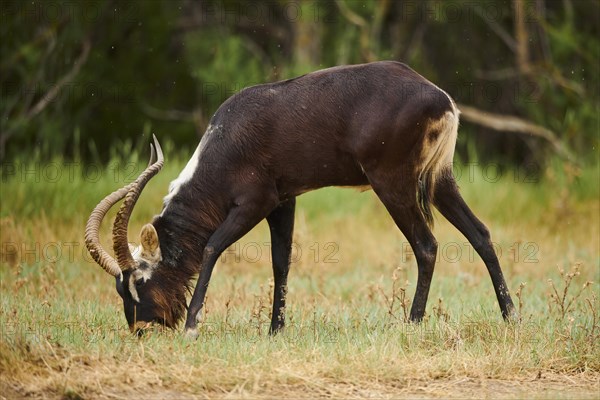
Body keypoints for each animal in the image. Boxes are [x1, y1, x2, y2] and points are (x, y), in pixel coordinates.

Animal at [83, 61, 516, 338]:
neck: (229, 138)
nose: (141, 330)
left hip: (393, 185)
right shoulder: (283, 202)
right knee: (480, 234)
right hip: (439, 181)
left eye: (139, 282)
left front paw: (192, 326)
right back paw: (511, 317)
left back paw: (412, 323)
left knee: (426, 245)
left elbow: (211, 247)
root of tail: (441, 98)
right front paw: (275, 330)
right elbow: (281, 261)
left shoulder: (253, 204)